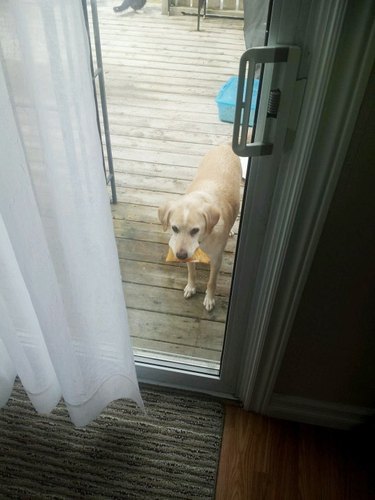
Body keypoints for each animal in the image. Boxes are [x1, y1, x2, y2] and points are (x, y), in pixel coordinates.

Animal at [158, 143, 241, 310]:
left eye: (195, 230)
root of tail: (226, 144)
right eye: (174, 228)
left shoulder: (216, 259)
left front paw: (209, 298)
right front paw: (191, 287)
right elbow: (192, 273)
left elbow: (212, 282)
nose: (180, 256)